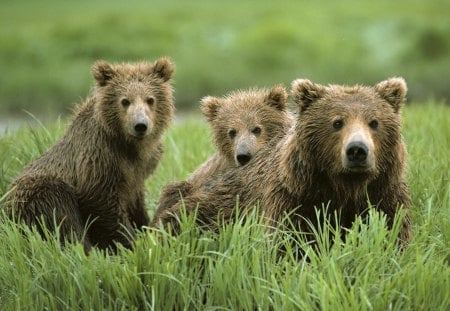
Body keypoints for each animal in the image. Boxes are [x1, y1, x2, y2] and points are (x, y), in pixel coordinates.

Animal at [3, 56, 176, 251]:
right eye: (125, 101)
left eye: (150, 99)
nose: (140, 125)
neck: (130, 146)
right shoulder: (99, 157)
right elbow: (102, 204)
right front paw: (132, 242)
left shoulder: (139, 171)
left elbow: (135, 203)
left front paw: (145, 228)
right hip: (37, 194)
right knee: (60, 214)